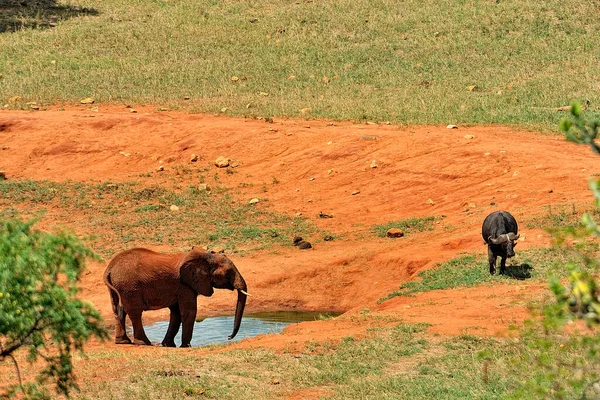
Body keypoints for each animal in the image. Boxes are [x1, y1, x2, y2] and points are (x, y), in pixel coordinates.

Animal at [104, 245, 250, 346]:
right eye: (228, 273)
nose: (228, 337)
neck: (205, 256)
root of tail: (109, 268)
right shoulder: (185, 285)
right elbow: (189, 311)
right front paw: (186, 346)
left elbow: (176, 313)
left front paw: (168, 345)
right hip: (129, 286)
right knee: (135, 312)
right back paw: (144, 343)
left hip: (120, 286)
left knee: (119, 310)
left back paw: (123, 342)